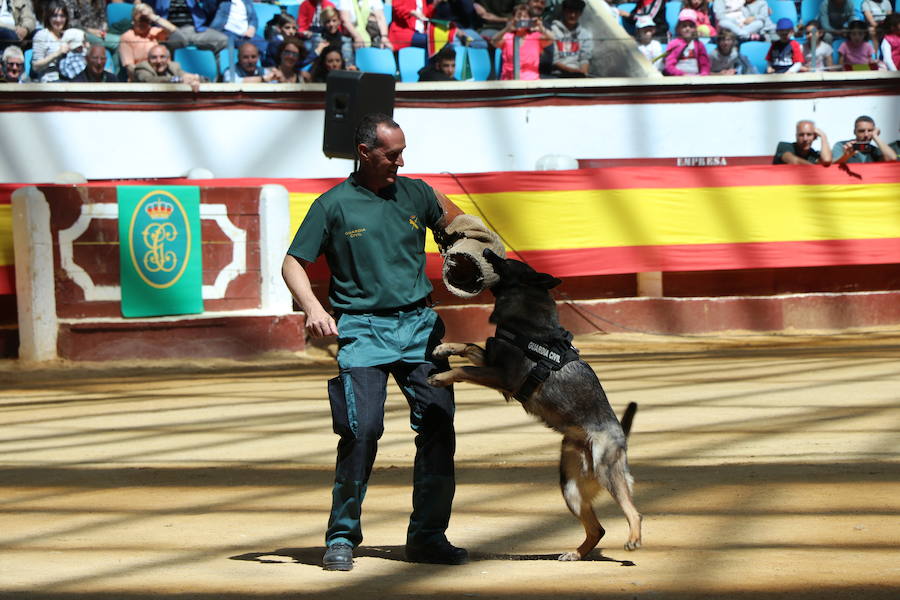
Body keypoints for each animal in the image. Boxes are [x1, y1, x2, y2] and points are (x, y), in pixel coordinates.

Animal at [428, 248, 640, 556]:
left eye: (507, 263)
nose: (488, 251)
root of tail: (620, 434)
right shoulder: (492, 362)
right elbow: (468, 345)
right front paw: (444, 348)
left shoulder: (503, 376)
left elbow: (463, 369)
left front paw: (441, 377)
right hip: (571, 488)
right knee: (598, 529)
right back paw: (577, 554)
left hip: (606, 469)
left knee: (633, 511)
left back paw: (633, 537)